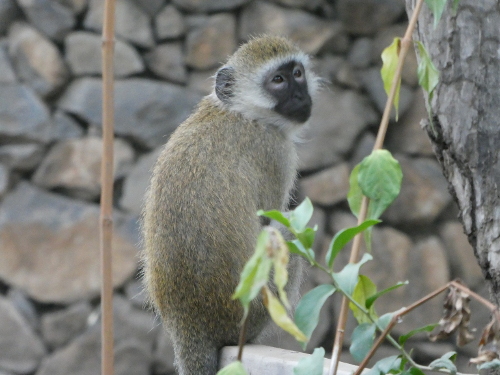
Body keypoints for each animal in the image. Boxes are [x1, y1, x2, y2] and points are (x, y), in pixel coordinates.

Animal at [143, 36, 318, 375]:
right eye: (278, 80)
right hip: (255, 311)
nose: (301, 96)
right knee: (285, 235)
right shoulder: (275, 153)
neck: (240, 112)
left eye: (298, 73)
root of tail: (187, 324)